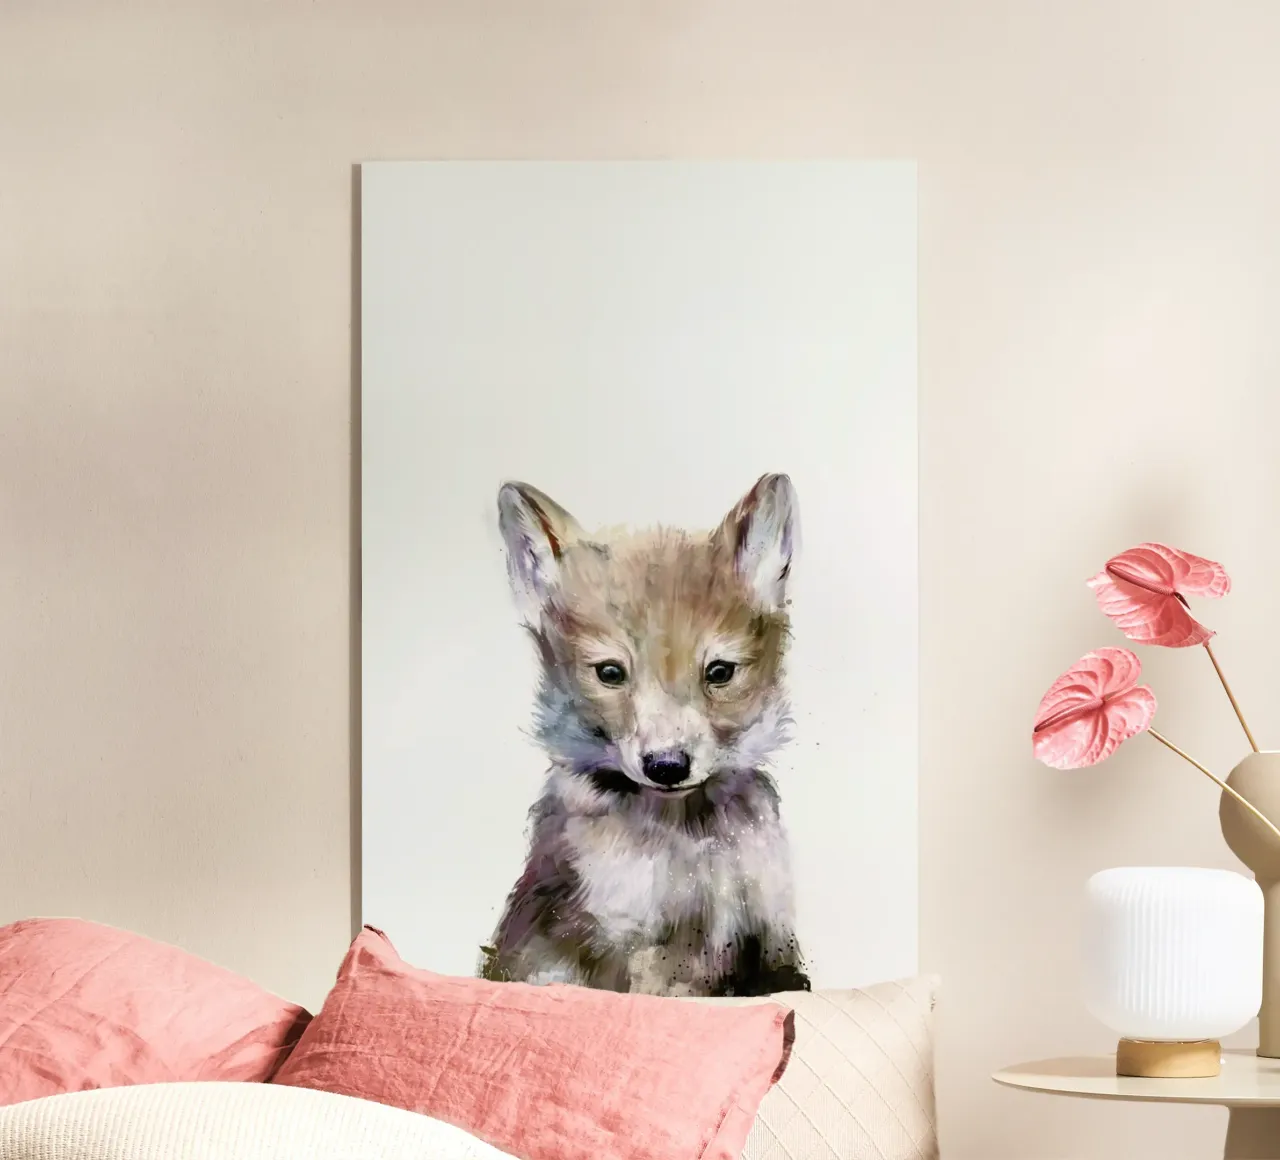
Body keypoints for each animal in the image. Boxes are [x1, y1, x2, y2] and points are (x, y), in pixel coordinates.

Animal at [479, 473, 810, 997]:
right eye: (610, 673)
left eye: (719, 672)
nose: (667, 767)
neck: (688, 841)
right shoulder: (632, 948)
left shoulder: (770, 940)